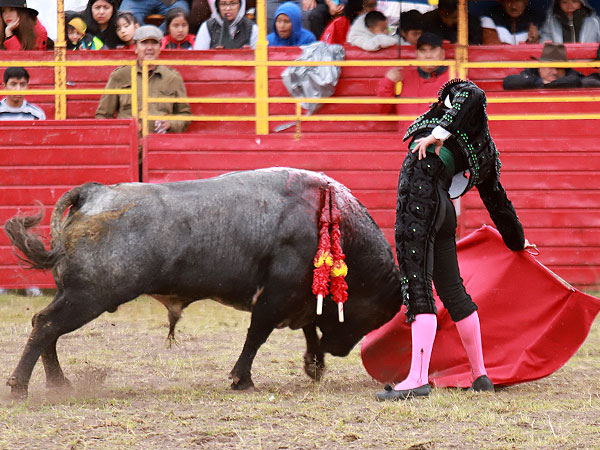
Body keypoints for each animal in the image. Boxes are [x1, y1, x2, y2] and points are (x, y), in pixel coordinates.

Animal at [3, 168, 404, 398]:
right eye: (371, 315)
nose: (340, 351)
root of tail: (95, 192)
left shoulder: (298, 296)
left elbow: (306, 327)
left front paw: (314, 365)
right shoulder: (276, 296)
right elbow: (258, 335)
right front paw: (242, 379)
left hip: (78, 295)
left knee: (46, 327)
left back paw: (58, 383)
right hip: (89, 295)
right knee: (47, 325)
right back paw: (21, 386)